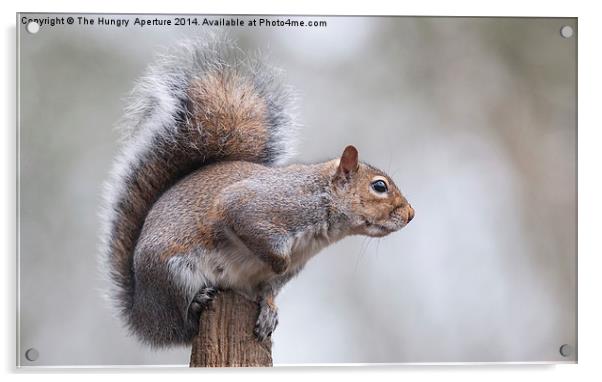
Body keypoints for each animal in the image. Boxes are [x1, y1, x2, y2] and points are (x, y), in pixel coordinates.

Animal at [102, 37, 412, 348]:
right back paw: (196, 303)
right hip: (174, 272)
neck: (321, 202)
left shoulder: (288, 269)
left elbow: (270, 290)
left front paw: (269, 312)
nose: (411, 214)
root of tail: (143, 317)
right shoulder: (259, 207)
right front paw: (277, 261)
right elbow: (250, 227)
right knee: (182, 325)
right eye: (379, 186)